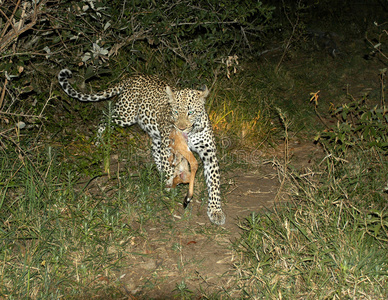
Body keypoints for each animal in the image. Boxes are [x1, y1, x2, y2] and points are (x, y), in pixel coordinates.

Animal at [58, 69, 226, 225]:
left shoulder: (209, 152)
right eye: (175, 111)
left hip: (154, 133)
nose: (181, 128)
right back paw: (98, 142)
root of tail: (132, 77)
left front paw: (215, 211)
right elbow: (169, 168)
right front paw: (169, 186)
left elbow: (214, 181)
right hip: (125, 115)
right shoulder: (168, 147)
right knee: (104, 117)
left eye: (191, 112)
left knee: (154, 150)